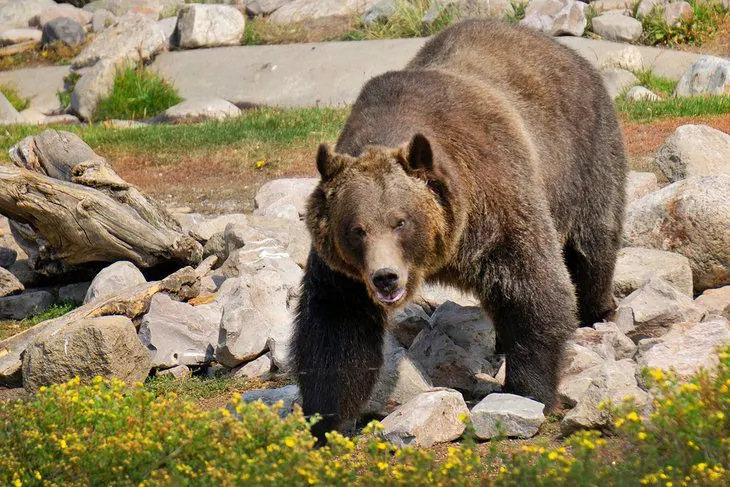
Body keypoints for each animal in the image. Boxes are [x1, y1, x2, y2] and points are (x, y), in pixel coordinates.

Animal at [290, 19, 624, 442]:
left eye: (401, 221)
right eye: (356, 229)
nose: (385, 277)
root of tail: (558, 47)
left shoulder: (495, 204)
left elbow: (533, 287)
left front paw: (528, 392)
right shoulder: (345, 274)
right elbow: (335, 327)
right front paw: (326, 419)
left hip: (582, 156)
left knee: (592, 246)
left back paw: (596, 311)